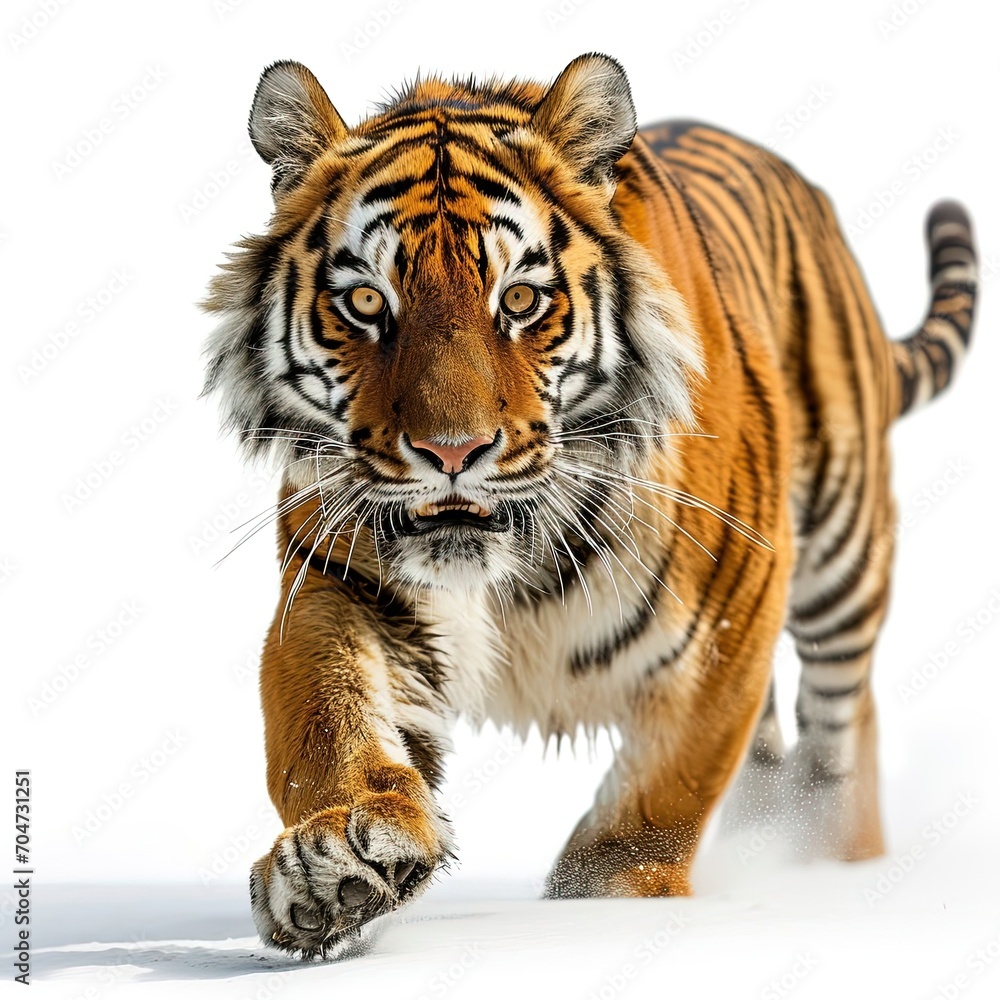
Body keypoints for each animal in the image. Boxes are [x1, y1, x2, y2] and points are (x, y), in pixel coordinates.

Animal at [202, 53, 978, 959]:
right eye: (366, 304)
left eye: (520, 301)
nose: (452, 452)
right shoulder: (336, 578)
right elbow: (324, 721)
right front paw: (338, 862)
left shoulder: (732, 612)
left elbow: (663, 794)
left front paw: (602, 909)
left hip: (842, 564)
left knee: (841, 735)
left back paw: (832, 869)